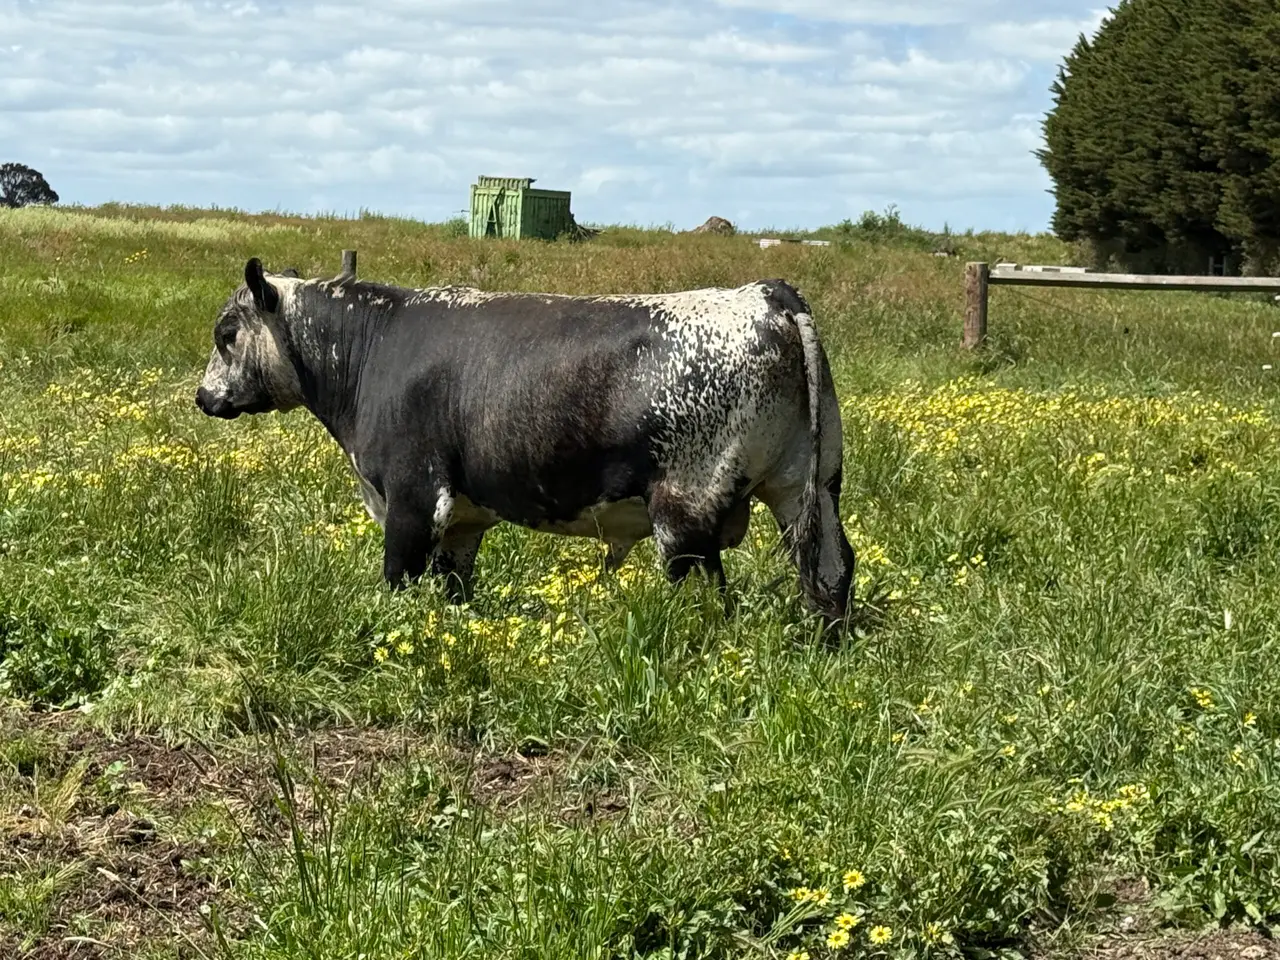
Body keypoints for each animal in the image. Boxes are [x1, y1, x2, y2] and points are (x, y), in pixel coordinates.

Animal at [195, 258, 856, 626]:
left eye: (226, 333)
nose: (203, 397)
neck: (376, 348)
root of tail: (763, 292)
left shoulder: (413, 498)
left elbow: (398, 579)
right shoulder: (461, 520)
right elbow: (453, 588)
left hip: (686, 510)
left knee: (709, 594)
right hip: (811, 488)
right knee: (831, 568)